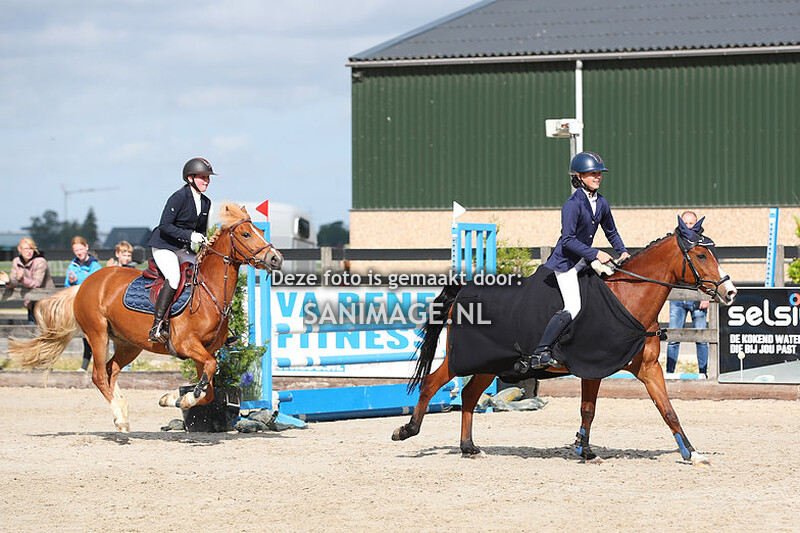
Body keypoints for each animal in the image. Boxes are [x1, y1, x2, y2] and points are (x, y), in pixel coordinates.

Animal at [9, 203, 283, 432]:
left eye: (260, 230)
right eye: (246, 234)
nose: (276, 259)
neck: (208, 293)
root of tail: (86, 283)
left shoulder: (205, 351)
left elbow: (209, 389)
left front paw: (176, 399)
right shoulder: (187, 345)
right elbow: (208, 377)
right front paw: (180, 398)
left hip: (128, 343)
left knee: (110, 370)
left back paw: (122, 411)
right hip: (97, 334)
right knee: (98, 375)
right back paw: (119, 417)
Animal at [392, 230, 738, 465]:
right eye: (701, 256)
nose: (731, 292)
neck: (628, 299)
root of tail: (465, 289)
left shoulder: (647, 368)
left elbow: (667, 411)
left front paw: (692, 454)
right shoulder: (593, 367)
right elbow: (588, 410)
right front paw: (585, 450)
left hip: (490, 364)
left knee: (468, 395)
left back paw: (468, 447)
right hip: (463, 359)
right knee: (432, 383)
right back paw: (407, 430)